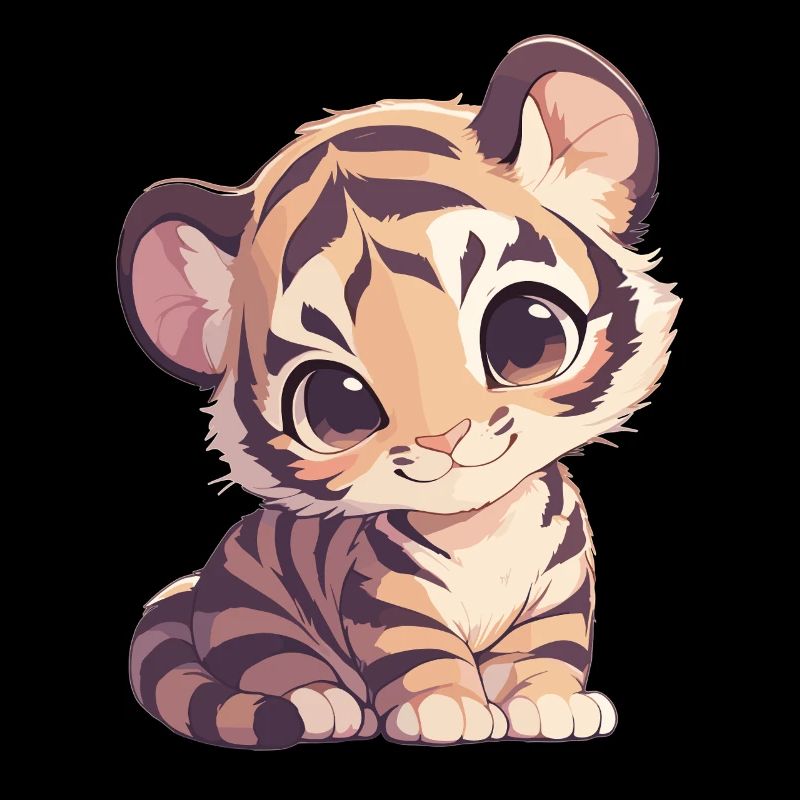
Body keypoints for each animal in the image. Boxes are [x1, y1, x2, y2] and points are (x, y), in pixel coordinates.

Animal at [120, 34, 678, 749]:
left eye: (528, 336)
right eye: (336, 405)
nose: (444, 437)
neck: (484, 526)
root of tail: (191, 588)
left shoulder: (559, 597)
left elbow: (546, 654)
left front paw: (551, 706)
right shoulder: (386, 600)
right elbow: (420, 656)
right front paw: (448, 712)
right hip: (251, 616)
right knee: (276, 666)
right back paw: (323, 705)